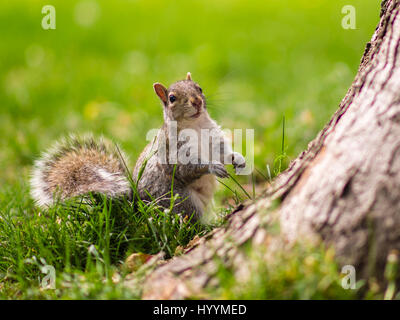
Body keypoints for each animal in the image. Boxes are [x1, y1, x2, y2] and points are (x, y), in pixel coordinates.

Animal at [31, 72, 245, 219]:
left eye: (199, 88)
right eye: (172, 98)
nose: (197, 102)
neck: (196, 125)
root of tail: (136, 207)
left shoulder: (213, 137)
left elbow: (223, 151)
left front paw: (238, 158)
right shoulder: (172, 150)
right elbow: (185, 168)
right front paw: (213, 166)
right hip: (181, 200)